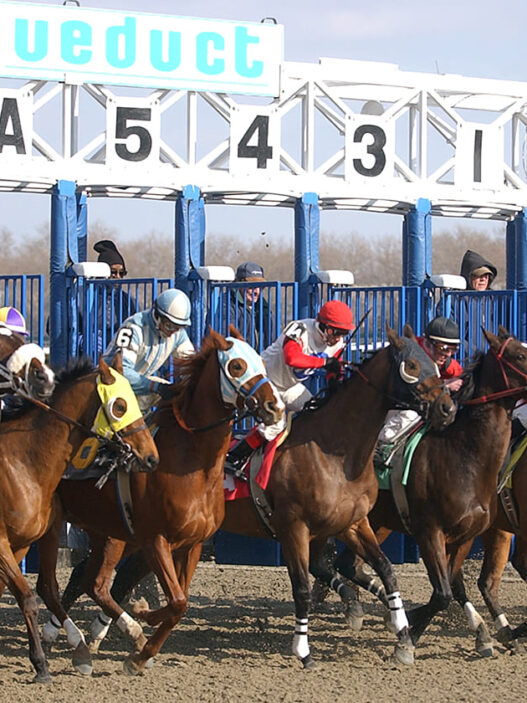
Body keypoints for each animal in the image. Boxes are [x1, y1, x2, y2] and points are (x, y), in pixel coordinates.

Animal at [0, 358, 159, 680]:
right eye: (120, 406)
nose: (151, 457)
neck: (22, 463)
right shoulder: (2, 543)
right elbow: (28, 597)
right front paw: (40, 664)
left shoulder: (24, 542)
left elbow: (35, 592)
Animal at [35, 332, 284, 680]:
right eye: (237, 366)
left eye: (260, 361)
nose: (275, 407)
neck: (191, 464)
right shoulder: (155, 540)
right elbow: (177, 601)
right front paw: (143, 618)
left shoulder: (192, 545)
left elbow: (181, 602)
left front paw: (142, 650)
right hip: (58, 526)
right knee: (60, 583)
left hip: (108, 533)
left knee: (92, 582)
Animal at [56, 324, 454, 672]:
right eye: (412, 365)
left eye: (436, 364)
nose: (447, 408)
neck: (335, 451)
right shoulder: (294, 527)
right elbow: (301, 589)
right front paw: (303, 651)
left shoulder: (353, 524)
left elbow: (386, 571)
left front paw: (403, 636)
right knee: (95, 576)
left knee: (115, 579)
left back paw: (100, 634)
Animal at [324, 328, 527, 656]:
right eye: (520, 355)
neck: (463, 456)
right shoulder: (429, 531)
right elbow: (442, 592)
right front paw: (406, 636)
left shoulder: (465, 536)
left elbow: (447, 588)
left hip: (380, 522)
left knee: (347, 564)